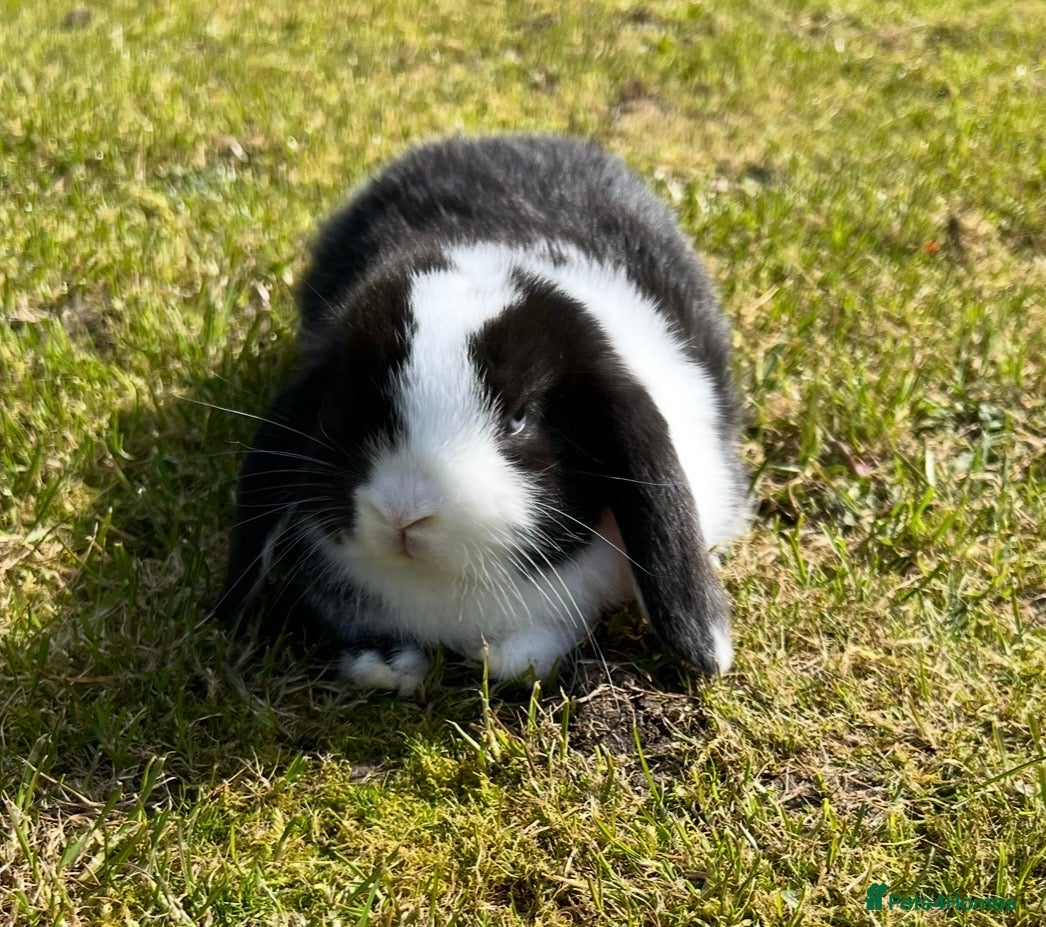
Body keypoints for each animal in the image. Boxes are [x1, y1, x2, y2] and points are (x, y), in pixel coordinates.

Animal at [216, 134, 748, 696]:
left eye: (519, 418)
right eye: (347, 401)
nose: (403, 513)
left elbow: (521, 658)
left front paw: (496, 654)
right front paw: (385, 665)